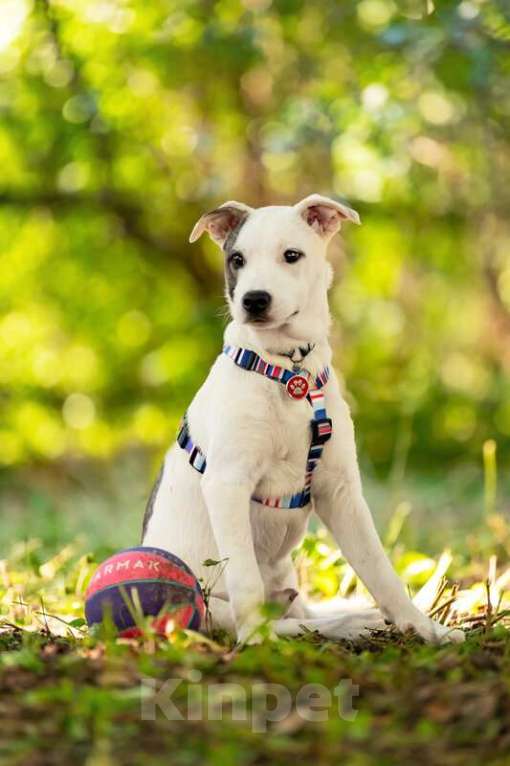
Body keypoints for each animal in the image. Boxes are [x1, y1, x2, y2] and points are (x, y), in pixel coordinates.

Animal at [141, 194, 464, 648]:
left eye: (291, 255)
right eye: (236, 259)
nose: (254, 300)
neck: (288, 371)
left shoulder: (341, 491)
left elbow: (379, 568)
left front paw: (422, 626)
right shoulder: (227, 483)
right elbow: (245, 578)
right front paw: (256, 640)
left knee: (303, 609)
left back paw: (358, 616)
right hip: (205, 605)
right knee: (274, 616)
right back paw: (335, 624)